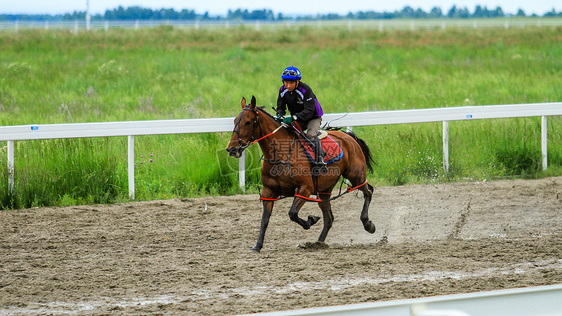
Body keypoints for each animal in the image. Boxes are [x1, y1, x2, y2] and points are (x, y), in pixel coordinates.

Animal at [225, 96, 374, 252]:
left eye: (248, 122)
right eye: (235, 121)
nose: (232, 149)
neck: (280, 155)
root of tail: (348, 136)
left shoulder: (305, 189)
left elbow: (292, 213)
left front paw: (311, 220)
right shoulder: (268, 192)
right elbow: (264, 220)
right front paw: (257, 246)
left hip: (356, 176)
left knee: (368, 191)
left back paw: (368, 224)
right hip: (324, 191)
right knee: (329, 218)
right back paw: (319, 243)